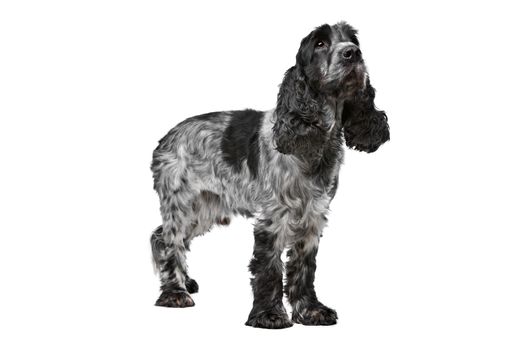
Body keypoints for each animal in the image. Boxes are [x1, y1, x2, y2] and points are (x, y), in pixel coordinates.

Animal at [149, 21, 386, 328]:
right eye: (320, 44)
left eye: (353, 40)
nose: (352, 53)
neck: (314, 141)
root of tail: (166, 138)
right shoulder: (274, 217)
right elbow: (269, 268)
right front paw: (269, 315)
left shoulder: (313, 216)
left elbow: (304, 268)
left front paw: (311, 311)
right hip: (182, 204)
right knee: (169, 242)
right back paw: (175, 293)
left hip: (204, 209)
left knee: (160, 236)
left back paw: (183, 283)